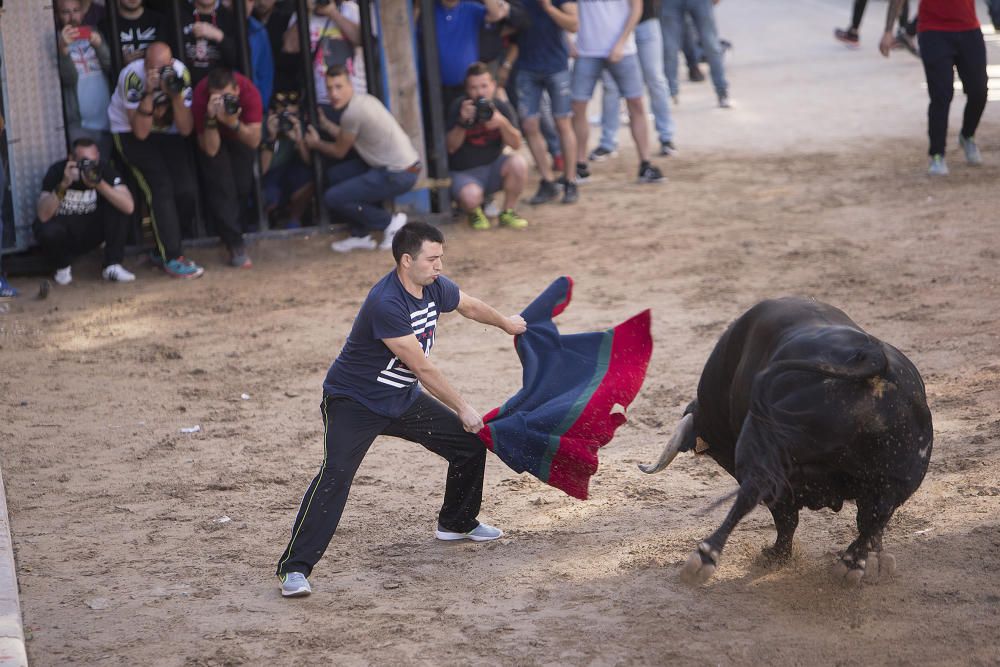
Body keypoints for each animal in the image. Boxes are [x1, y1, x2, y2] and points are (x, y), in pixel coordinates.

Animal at [644, 298, 932, 584]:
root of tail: (871, 360)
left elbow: (784, 518)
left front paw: (775, 554)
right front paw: (877, 560)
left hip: (764, 450)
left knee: (751, 495)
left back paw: (705, 558)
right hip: (898, 478)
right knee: (877, 517)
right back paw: (853, 563)